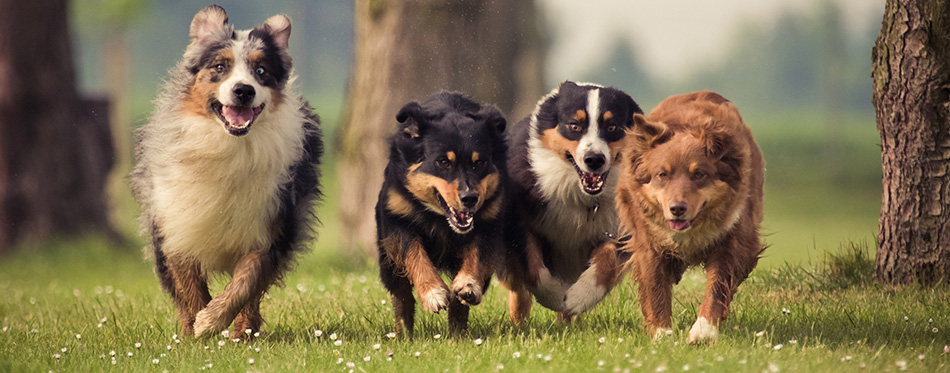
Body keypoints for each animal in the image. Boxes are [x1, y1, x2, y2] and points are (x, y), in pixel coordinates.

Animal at [130, 5, 324, 338]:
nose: (243, 90)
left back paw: (244, 333)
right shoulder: (175, 225)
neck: (229, 145)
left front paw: (212, 320)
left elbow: (246, 282)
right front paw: (196, 331)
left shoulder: (273, 225)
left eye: (262, 71)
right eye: (220, 66)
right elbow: (190, 286)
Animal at [616, 90, 768, 342]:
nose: (677, 208)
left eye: (699, 174)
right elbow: (655, 287)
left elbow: (718, 286)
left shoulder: (734, 239)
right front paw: (663, 335)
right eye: (662, 175)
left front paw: (703, 331)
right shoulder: (648, 243)